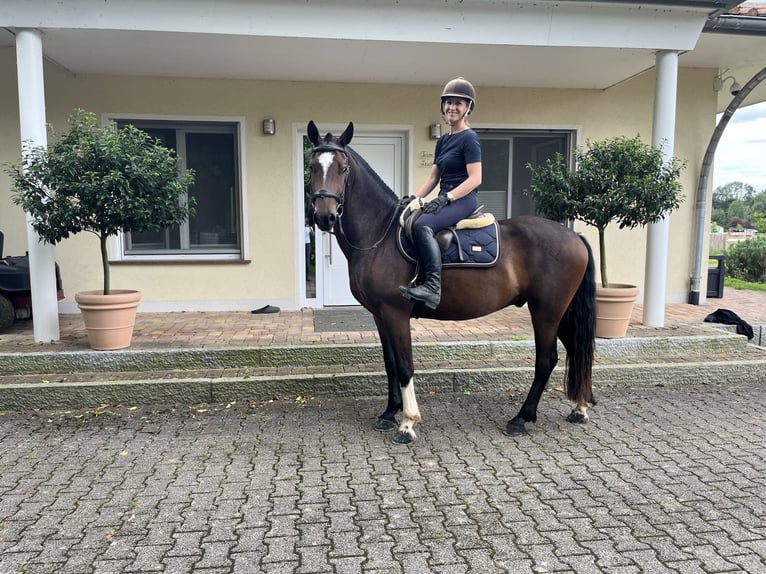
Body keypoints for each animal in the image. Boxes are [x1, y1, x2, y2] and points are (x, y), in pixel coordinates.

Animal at [308, 120, 596, 446]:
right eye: (312, 167)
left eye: (343, 168)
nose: (324, 216)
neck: (379, 234)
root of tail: (574, 236)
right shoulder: (380, 315)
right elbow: (390, 363)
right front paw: (389, 413)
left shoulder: (396, 314)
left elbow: (404, 365)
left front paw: (407, 423)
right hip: (561, 312)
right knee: (577, 351)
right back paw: (579, 408)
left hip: (546, 312)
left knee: (546, 360)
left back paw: (521, 418)